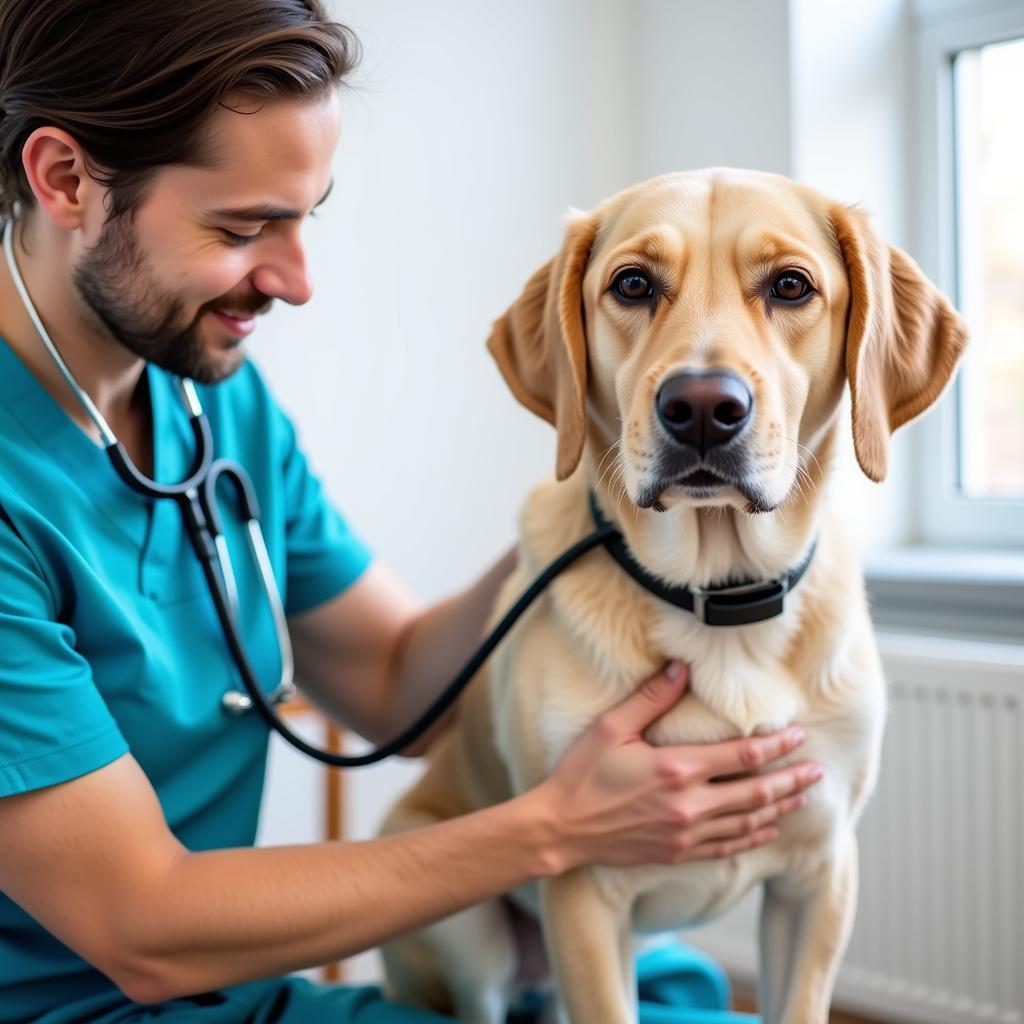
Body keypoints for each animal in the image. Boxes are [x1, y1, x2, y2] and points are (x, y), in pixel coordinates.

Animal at [376, 169, 966, 1024]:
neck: (720, 597)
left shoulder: (820, 877)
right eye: (633, 284)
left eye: (791, 286)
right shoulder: (581, 888)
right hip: (469, 927)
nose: (703, 408)